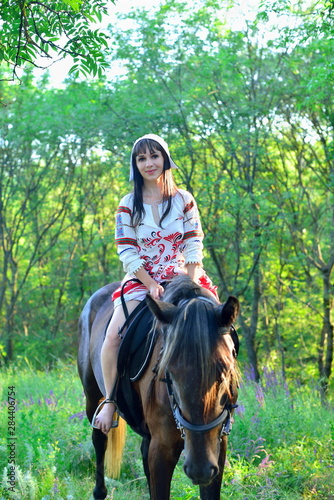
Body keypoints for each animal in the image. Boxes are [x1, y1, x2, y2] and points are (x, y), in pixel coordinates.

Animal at [77, 276, 240, 500]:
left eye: (224, 369)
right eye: (169, 370)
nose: (199, 469)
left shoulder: (218, 445)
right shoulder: (162, 448)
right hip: (93, 397)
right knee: (99, 440)